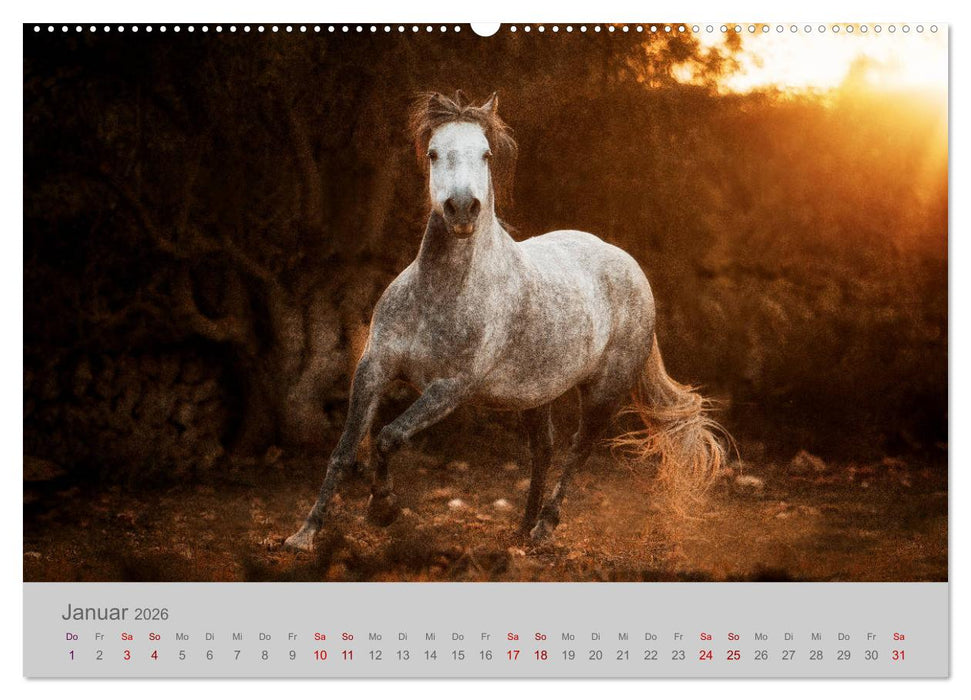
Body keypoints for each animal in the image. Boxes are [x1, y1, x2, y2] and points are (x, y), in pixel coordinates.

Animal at [284, 91, 726, 552]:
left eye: (486, 154)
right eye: (433, 152)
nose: (462, 209)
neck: (440, 294)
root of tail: (630, 266)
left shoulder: (451, 387)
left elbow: (389, 436)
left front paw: (382, 508)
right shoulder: (374, 368)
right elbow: (346, 448)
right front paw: (305, 534)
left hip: (605, 391)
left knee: (577, 451)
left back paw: (544, 527)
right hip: (536, 393)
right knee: (543, 449)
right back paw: (522, 530)